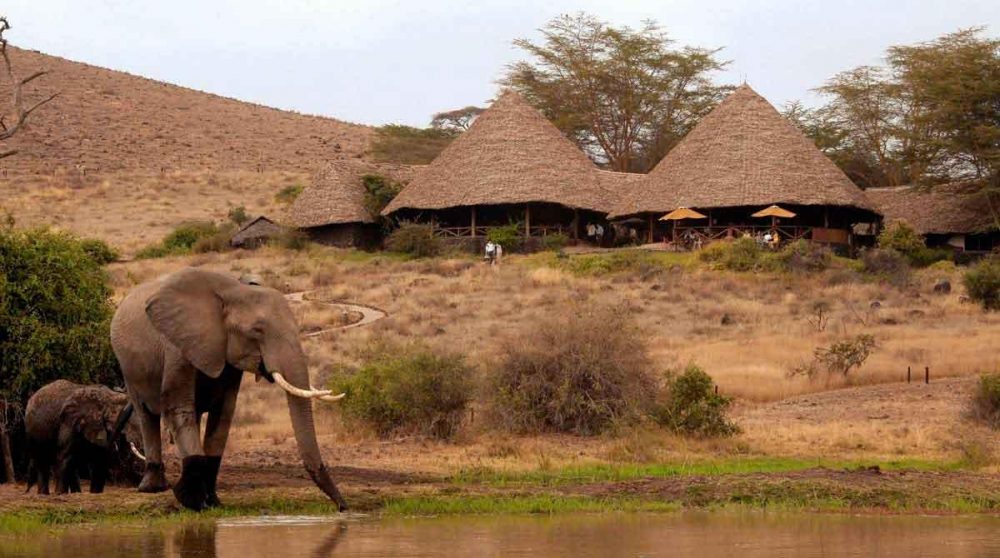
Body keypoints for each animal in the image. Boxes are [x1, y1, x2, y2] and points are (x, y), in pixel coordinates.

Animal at [110, 267, 347, 511]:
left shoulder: (229, 358)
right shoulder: (177, 346)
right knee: (146, 415)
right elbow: (178, 406)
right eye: (257, 330)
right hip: (128, 367)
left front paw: (213, 502)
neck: (233, 291)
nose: (342, 507)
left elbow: (223, 414)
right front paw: (192, 502)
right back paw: (152, 488)